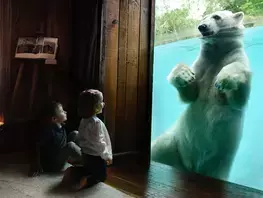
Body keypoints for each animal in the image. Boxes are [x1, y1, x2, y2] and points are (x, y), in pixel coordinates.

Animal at [151, 10, 252, 181]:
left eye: (217, 17)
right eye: (202, 18)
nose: (202, 27)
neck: (217, 54)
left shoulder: (237, 57)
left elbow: (237, 100)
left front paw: (225, 78)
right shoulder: (202, 65)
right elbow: (189, 95)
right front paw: (184, 74)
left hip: (219, 167)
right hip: (174, 143)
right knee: (158, 149)